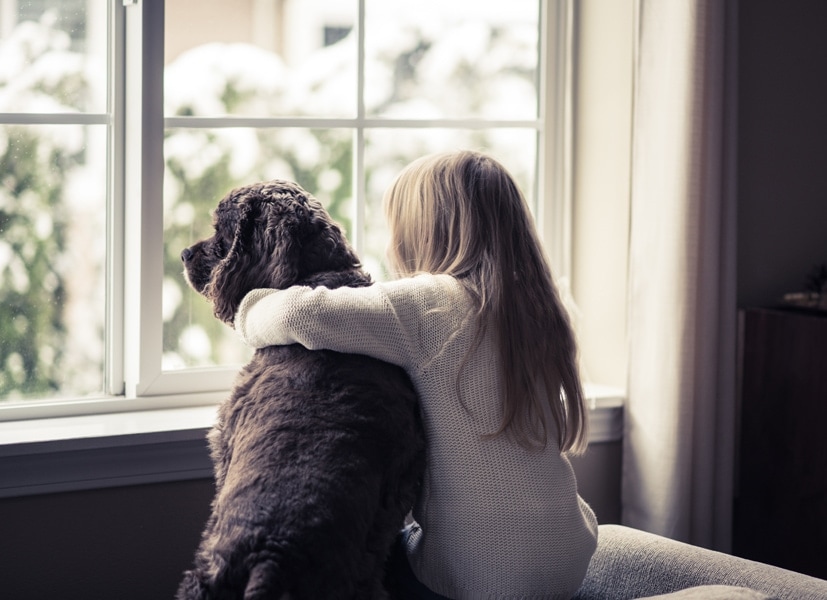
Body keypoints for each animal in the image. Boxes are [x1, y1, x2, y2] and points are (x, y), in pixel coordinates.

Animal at [177, 180, 424, 596]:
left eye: (221, 232)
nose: (183, 253)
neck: (320, 275)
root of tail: (272, 554)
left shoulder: (225, 443)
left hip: (199, 581)